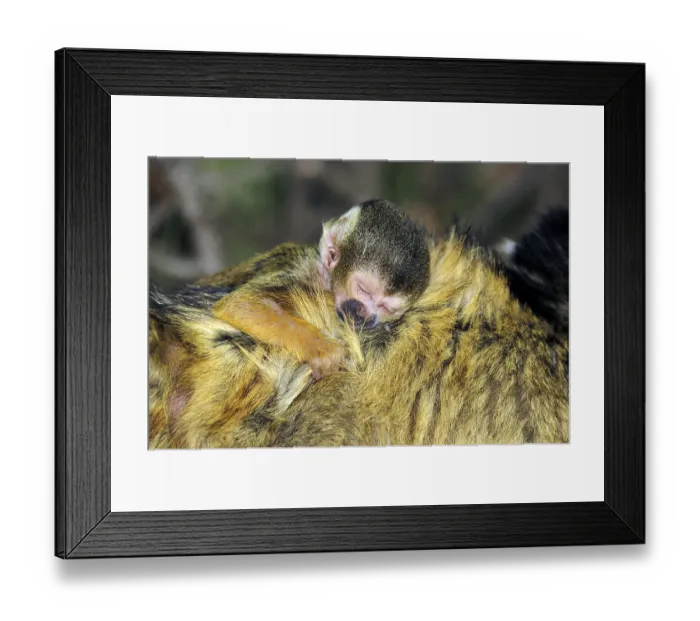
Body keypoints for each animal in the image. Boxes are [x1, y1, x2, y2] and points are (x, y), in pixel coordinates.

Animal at [200, 199, 431, 380]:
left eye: (386, 308)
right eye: (363, 290)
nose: (366, 315)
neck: (325, 277)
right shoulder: (304, 269)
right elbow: (242, 303)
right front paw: (323, 350)